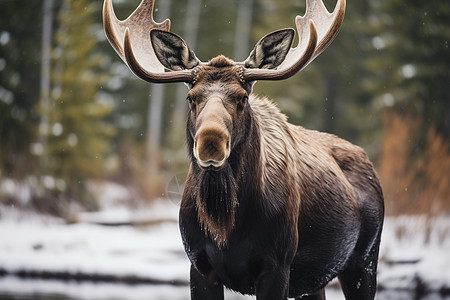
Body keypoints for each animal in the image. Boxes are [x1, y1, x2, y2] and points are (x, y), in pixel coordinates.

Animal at [103, 0, 384, 298]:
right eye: (190, 97)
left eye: (243, 97)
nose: (210, 142)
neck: (227, 227)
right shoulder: (199, 265)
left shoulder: (276, 266)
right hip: (313, 280)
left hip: (364, 260)